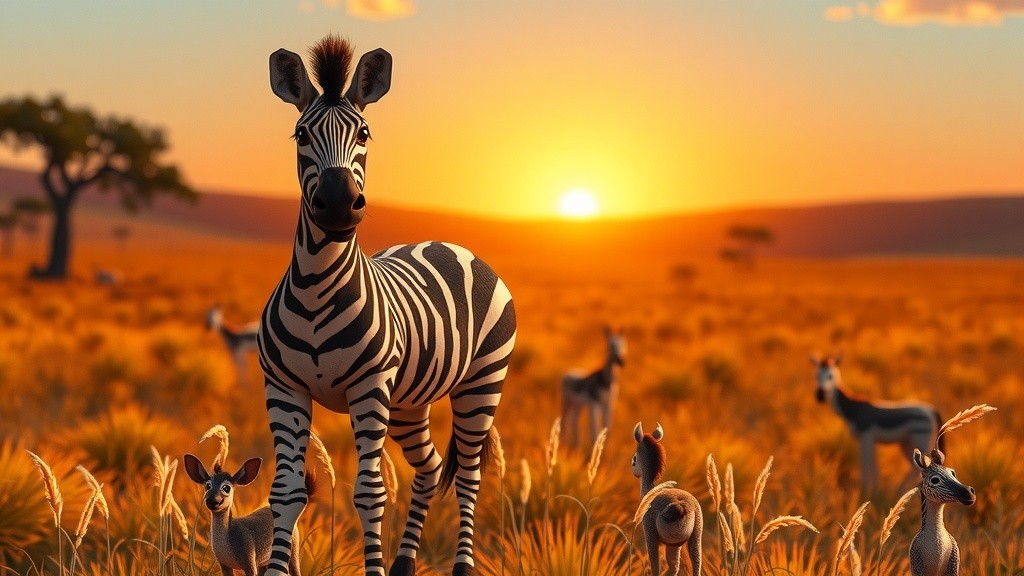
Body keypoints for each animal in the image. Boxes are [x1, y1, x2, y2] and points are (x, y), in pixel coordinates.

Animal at [259, 35, 517, 576]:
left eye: (364, 133)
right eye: (300, 134)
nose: (339, 203)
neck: (316, 289)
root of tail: (452, 244)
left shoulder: (369, 387)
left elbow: (371, 492)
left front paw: (373, 568)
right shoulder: (283, 388)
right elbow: (286, 492)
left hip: (482, 382)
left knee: (468, 475)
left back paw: (462, 564)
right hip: (408, 403)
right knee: (432, 467)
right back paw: (405, 562)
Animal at [811, 354, 943, 493]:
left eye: (830, 375)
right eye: (817, 375)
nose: (820, 395)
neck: (853, 408)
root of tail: (931, 409)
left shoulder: (866, 436)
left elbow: (866, 463)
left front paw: (866, 490)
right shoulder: (865, 439)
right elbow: (872, 464)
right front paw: (874, 490)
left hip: (921, 440)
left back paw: (899, 489)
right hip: (906, 443)